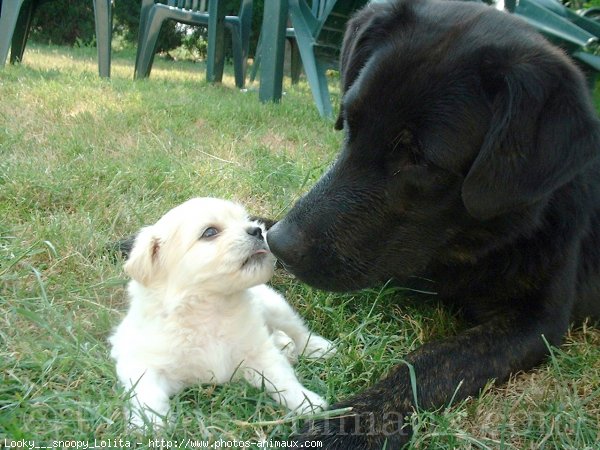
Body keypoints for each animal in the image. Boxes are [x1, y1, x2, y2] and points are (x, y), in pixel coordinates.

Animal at [110, 198, 336, 428]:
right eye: (210, 232)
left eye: (246, 219)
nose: (258, 230)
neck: (209, 308)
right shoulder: (141, 364)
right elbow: (147, 396)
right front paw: (151, 427)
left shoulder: (258, 353)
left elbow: (282, 379)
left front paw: (308, 403)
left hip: (275, 306)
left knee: (297, 331)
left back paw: (318, 347)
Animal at [266, 0, 600, 446]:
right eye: (349, 120)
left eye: (419, 158)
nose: (281, 244)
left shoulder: (537, 322)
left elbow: (425, 366)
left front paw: (352, 424)